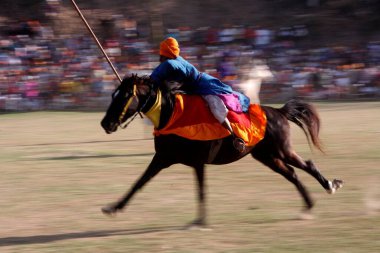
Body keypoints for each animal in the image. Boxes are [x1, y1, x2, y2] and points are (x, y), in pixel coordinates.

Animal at [99, 74, 342, 226]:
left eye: (123, 96)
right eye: (112, 95)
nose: (105, 123)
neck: (172, 114)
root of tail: (280, 112)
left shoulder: (196, 162)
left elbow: (201, 190)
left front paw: (200, 221)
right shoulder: (163, 158)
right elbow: (139, 182)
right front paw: (114, 207)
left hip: (280, 151)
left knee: (307, 165)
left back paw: (329, 186)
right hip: (267, 157)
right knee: (292, 174)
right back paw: (308, 206)